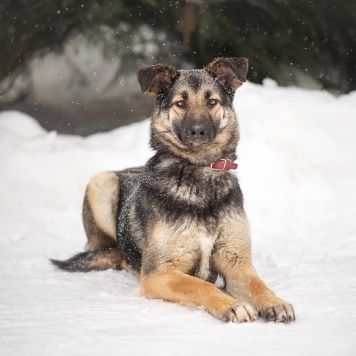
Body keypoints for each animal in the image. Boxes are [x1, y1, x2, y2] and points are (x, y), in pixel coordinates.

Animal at [50, 57, 294, 324]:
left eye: (212, 101)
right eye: (180, 103)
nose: (198, 130)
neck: (198, 172)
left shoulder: (236, 262)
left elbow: (258, 284)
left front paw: (275, 302)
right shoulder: (159, 273)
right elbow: (200, 285)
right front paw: (232, 305)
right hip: (101, 181)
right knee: (99, 248)